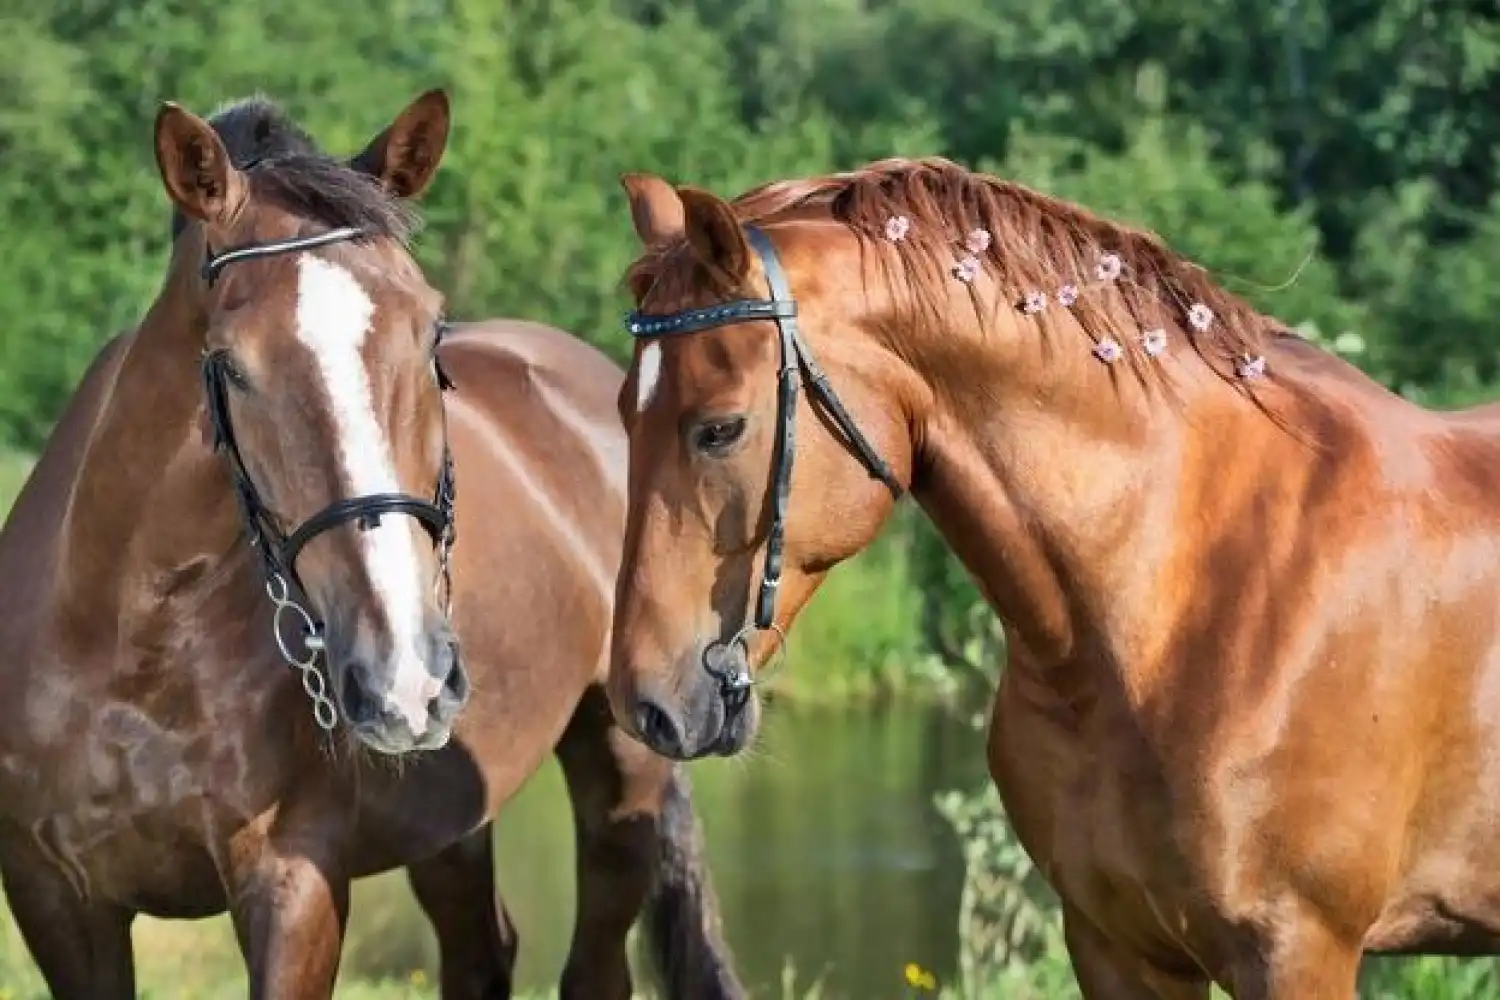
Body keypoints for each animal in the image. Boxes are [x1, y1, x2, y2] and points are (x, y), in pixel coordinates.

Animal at [0, 91, 744, 1000]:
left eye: (430, 333)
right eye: (231, 365)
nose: (406, 675)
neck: (129, 648)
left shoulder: (295, 881)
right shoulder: (54, 900)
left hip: (620, 768)